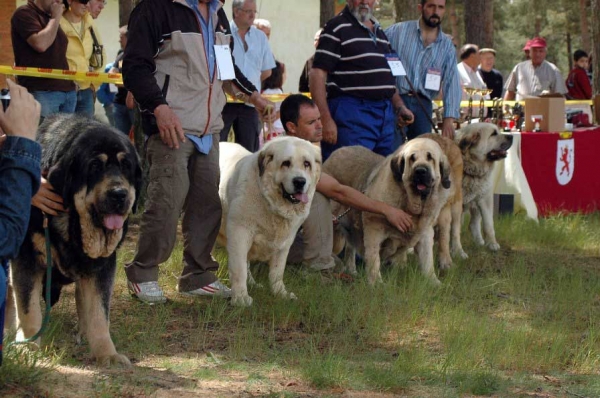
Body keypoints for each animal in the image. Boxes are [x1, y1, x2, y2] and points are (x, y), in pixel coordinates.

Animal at [218, 135, 322, 306]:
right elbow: (239, 268)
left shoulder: (285, 242)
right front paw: (240, 298)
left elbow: (277, 272)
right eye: (286, 163)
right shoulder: (239, 233)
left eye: (307, 164)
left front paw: (280, 294)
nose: (300, 181)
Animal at [324, 138, 450, 284]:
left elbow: (427, 260)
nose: (420, 171)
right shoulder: (374, 228)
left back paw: (351, 270)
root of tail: (336, 152)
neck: (411, 204)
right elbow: (374, 258)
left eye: (430, 158)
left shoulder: (425, 233)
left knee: (350, 247)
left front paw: (434, 282)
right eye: (412, 158)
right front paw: (376, 283)